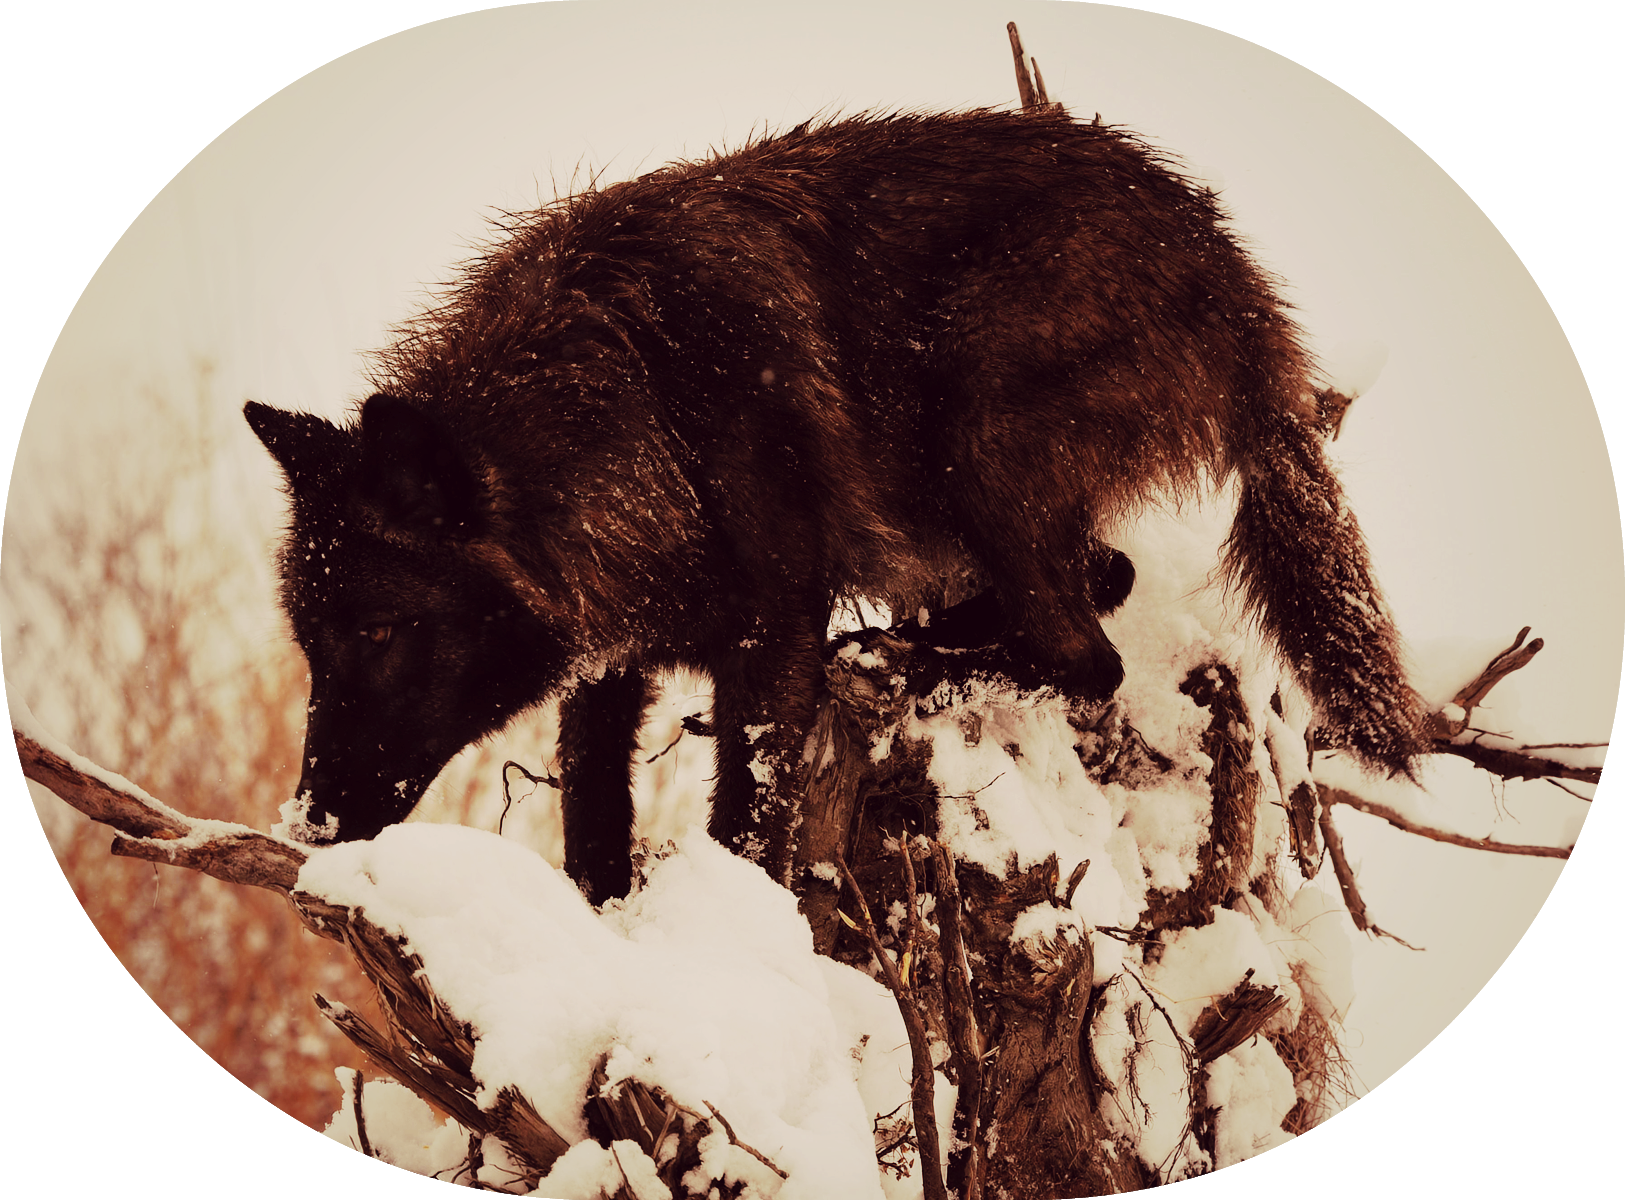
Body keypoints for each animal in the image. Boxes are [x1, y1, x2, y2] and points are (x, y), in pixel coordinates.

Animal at [246, 108, 1425, 904]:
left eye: (381, 631)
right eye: (311, 643)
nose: (307, 822)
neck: (641, 406)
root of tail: (1233, 274)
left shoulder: (768, 639)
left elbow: (745, 818)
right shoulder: (610, 660)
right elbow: (591, 812)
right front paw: (612, 929)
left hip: (976, 424)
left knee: (1086, 653)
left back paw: (916, 662)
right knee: (1101, 585)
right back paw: (917, 646)